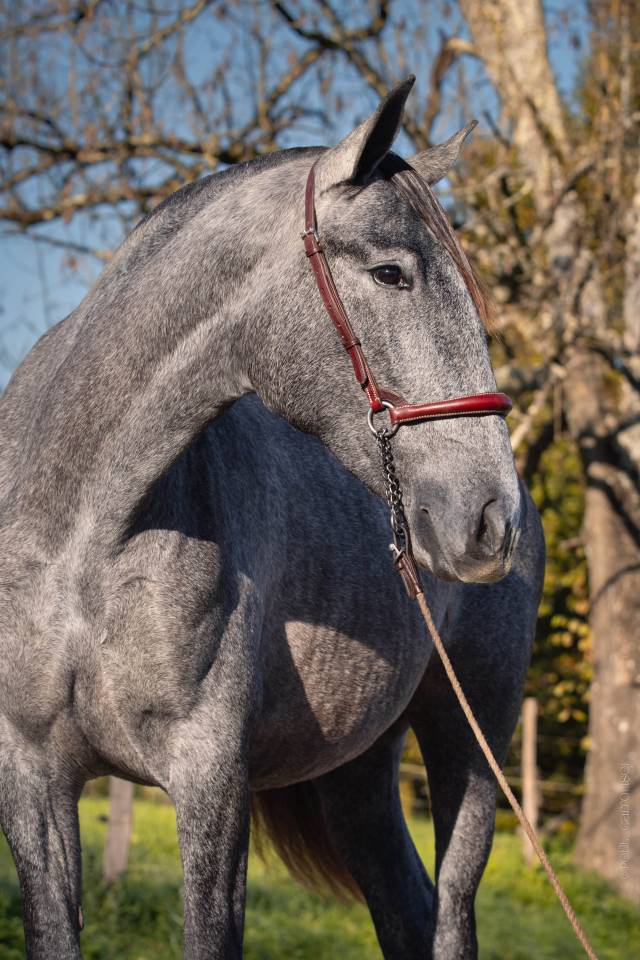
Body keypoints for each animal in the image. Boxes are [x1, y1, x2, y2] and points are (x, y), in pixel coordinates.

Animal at [0, 77, 544, 959]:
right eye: (391, 273)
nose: (492, 519)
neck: (82, 539)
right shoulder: (32, 781)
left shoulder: (210, 781)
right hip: (359, 776)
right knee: (407, 907)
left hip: (473, 739)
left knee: (452, 910)